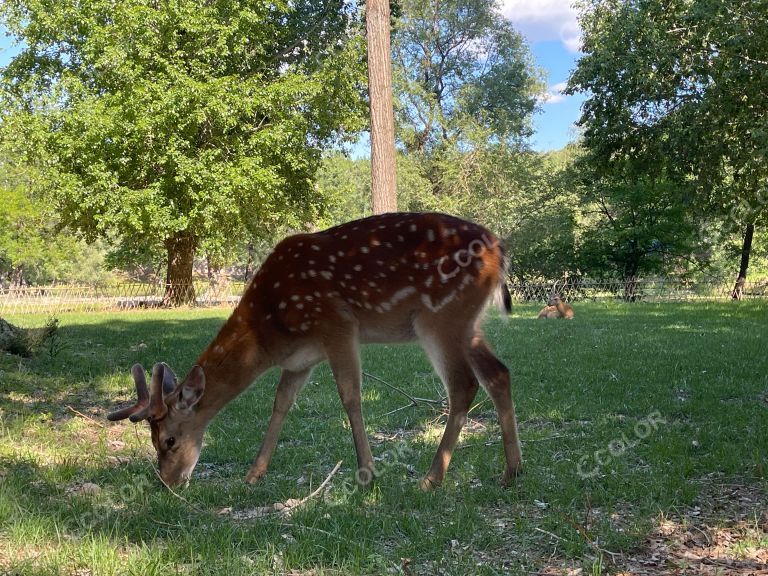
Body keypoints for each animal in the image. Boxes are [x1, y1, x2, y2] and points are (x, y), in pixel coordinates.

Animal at [108, 212, 524, 490]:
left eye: (169, 440)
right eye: (153, 441)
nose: (168, 482)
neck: (271, 329)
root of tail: (500, 250)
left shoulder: (336, 324)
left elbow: (350, 396)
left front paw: (367, 473)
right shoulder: (300, 359)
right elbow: (281, 403)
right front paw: (254, 473)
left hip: (440, 317)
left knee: (464, 385)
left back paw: (432, 477)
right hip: (469, 325)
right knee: (499, 373)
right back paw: (512, 471)